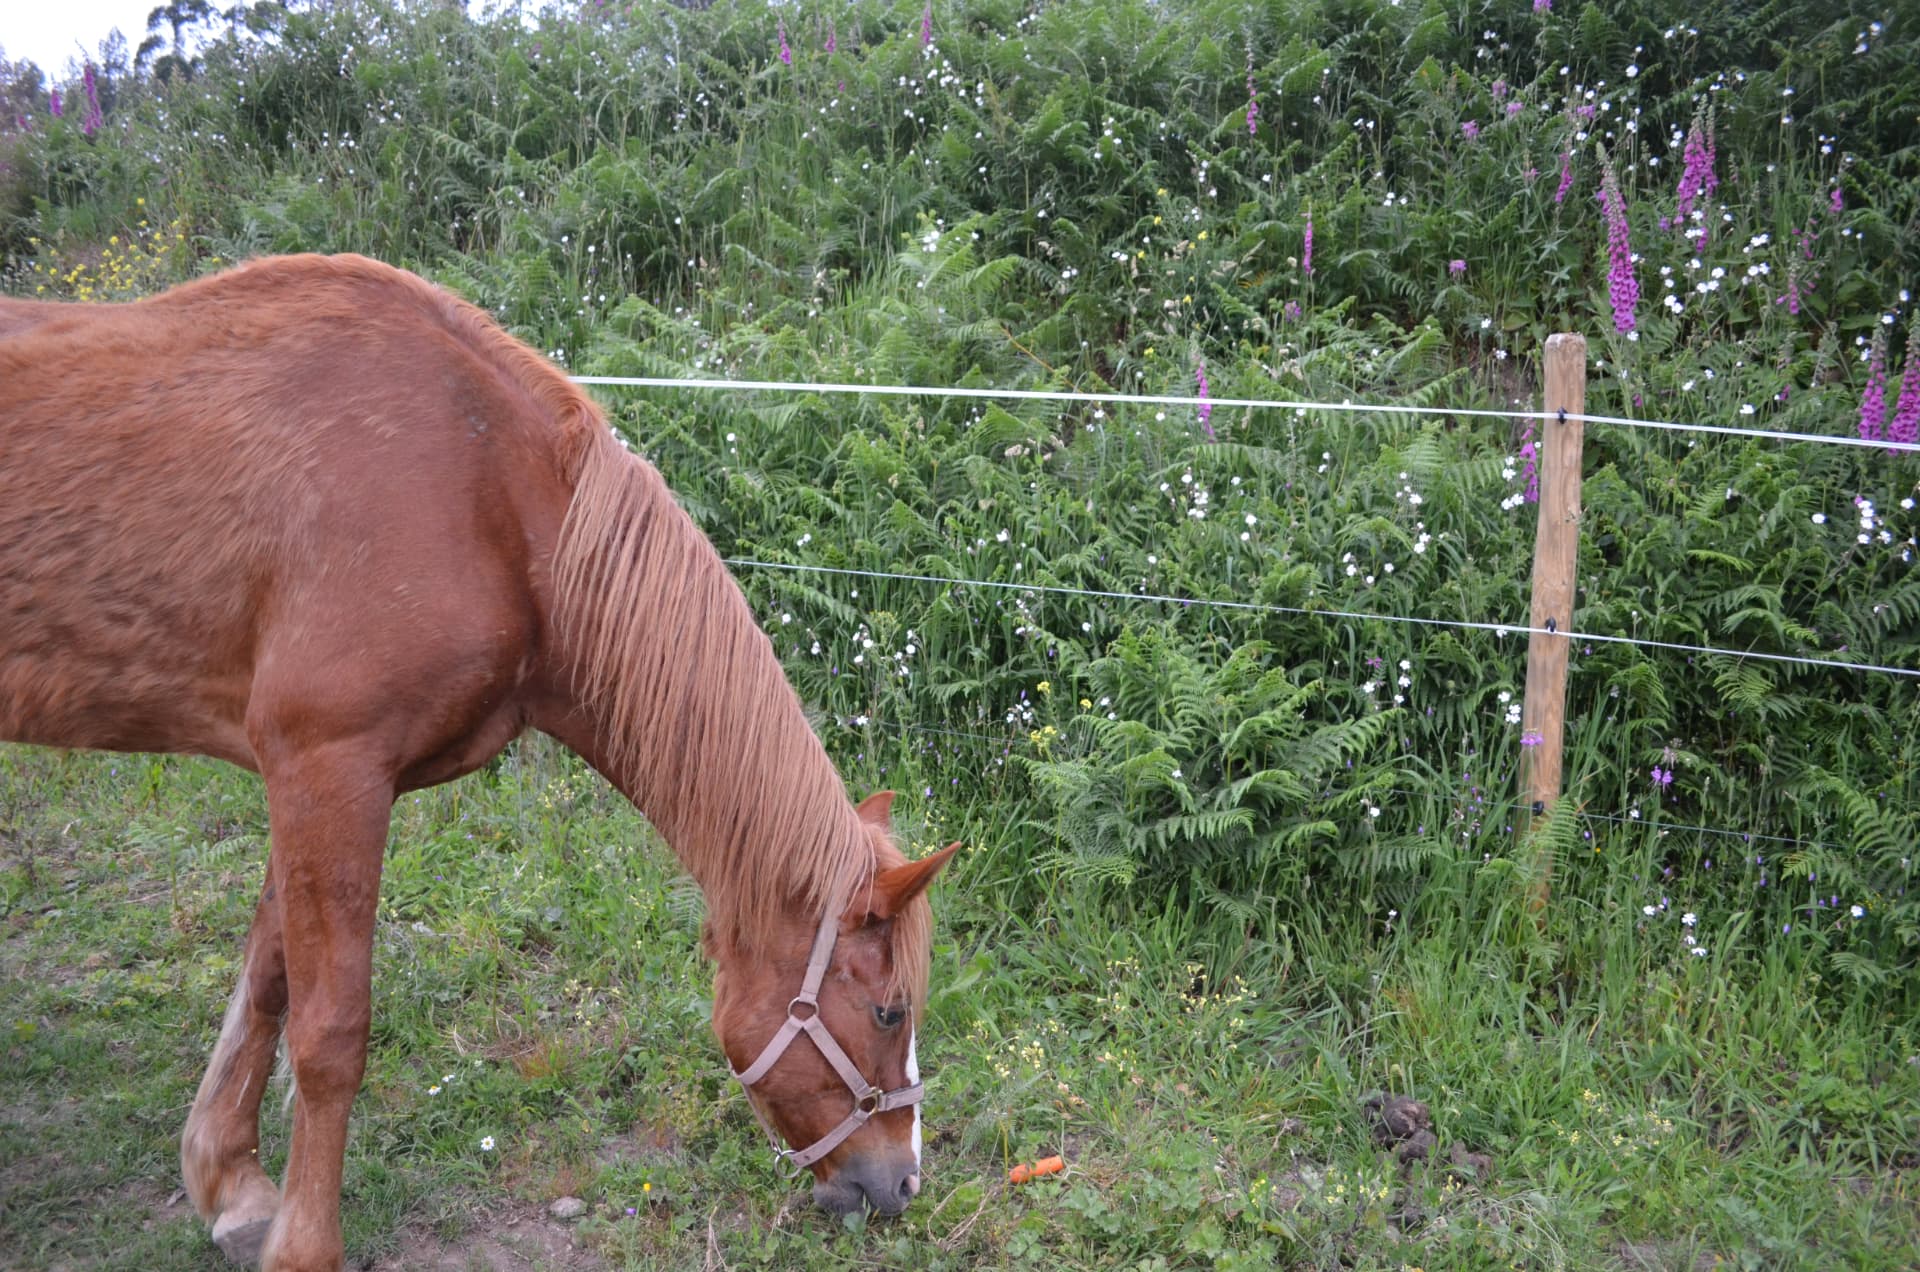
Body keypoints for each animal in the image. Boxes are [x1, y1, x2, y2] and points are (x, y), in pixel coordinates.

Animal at [0, 254, 959, 1271]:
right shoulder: (329, 767)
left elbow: (267, 980)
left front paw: (230, 1182)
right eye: (891, 1010)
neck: (484, 495)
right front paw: (304, 1242)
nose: (900, 1183)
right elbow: (330, 1031)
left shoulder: (310, 780)